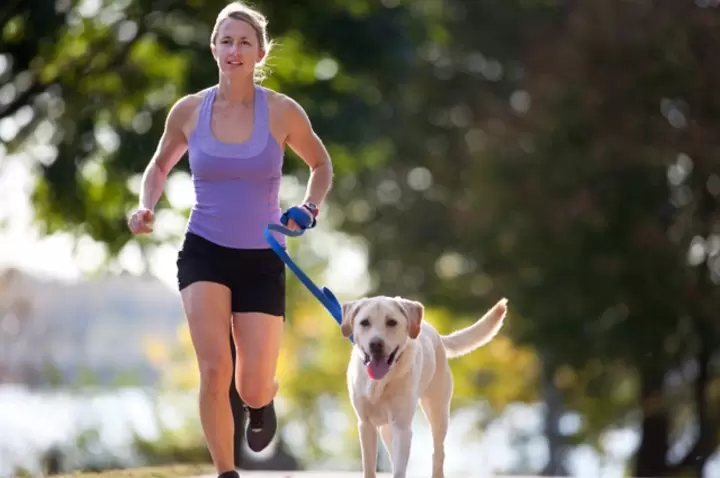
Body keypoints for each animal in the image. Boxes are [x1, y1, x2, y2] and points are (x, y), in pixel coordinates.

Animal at [342, 296, 506, 478]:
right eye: (364, 322)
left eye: (391, 322)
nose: (375, 344)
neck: (380, 382)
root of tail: (435, 333)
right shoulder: (366, 425)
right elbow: (369, 468)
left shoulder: (402, 427)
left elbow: (399, 469)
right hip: (387, 429)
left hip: (438, 413)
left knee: (438, 453)